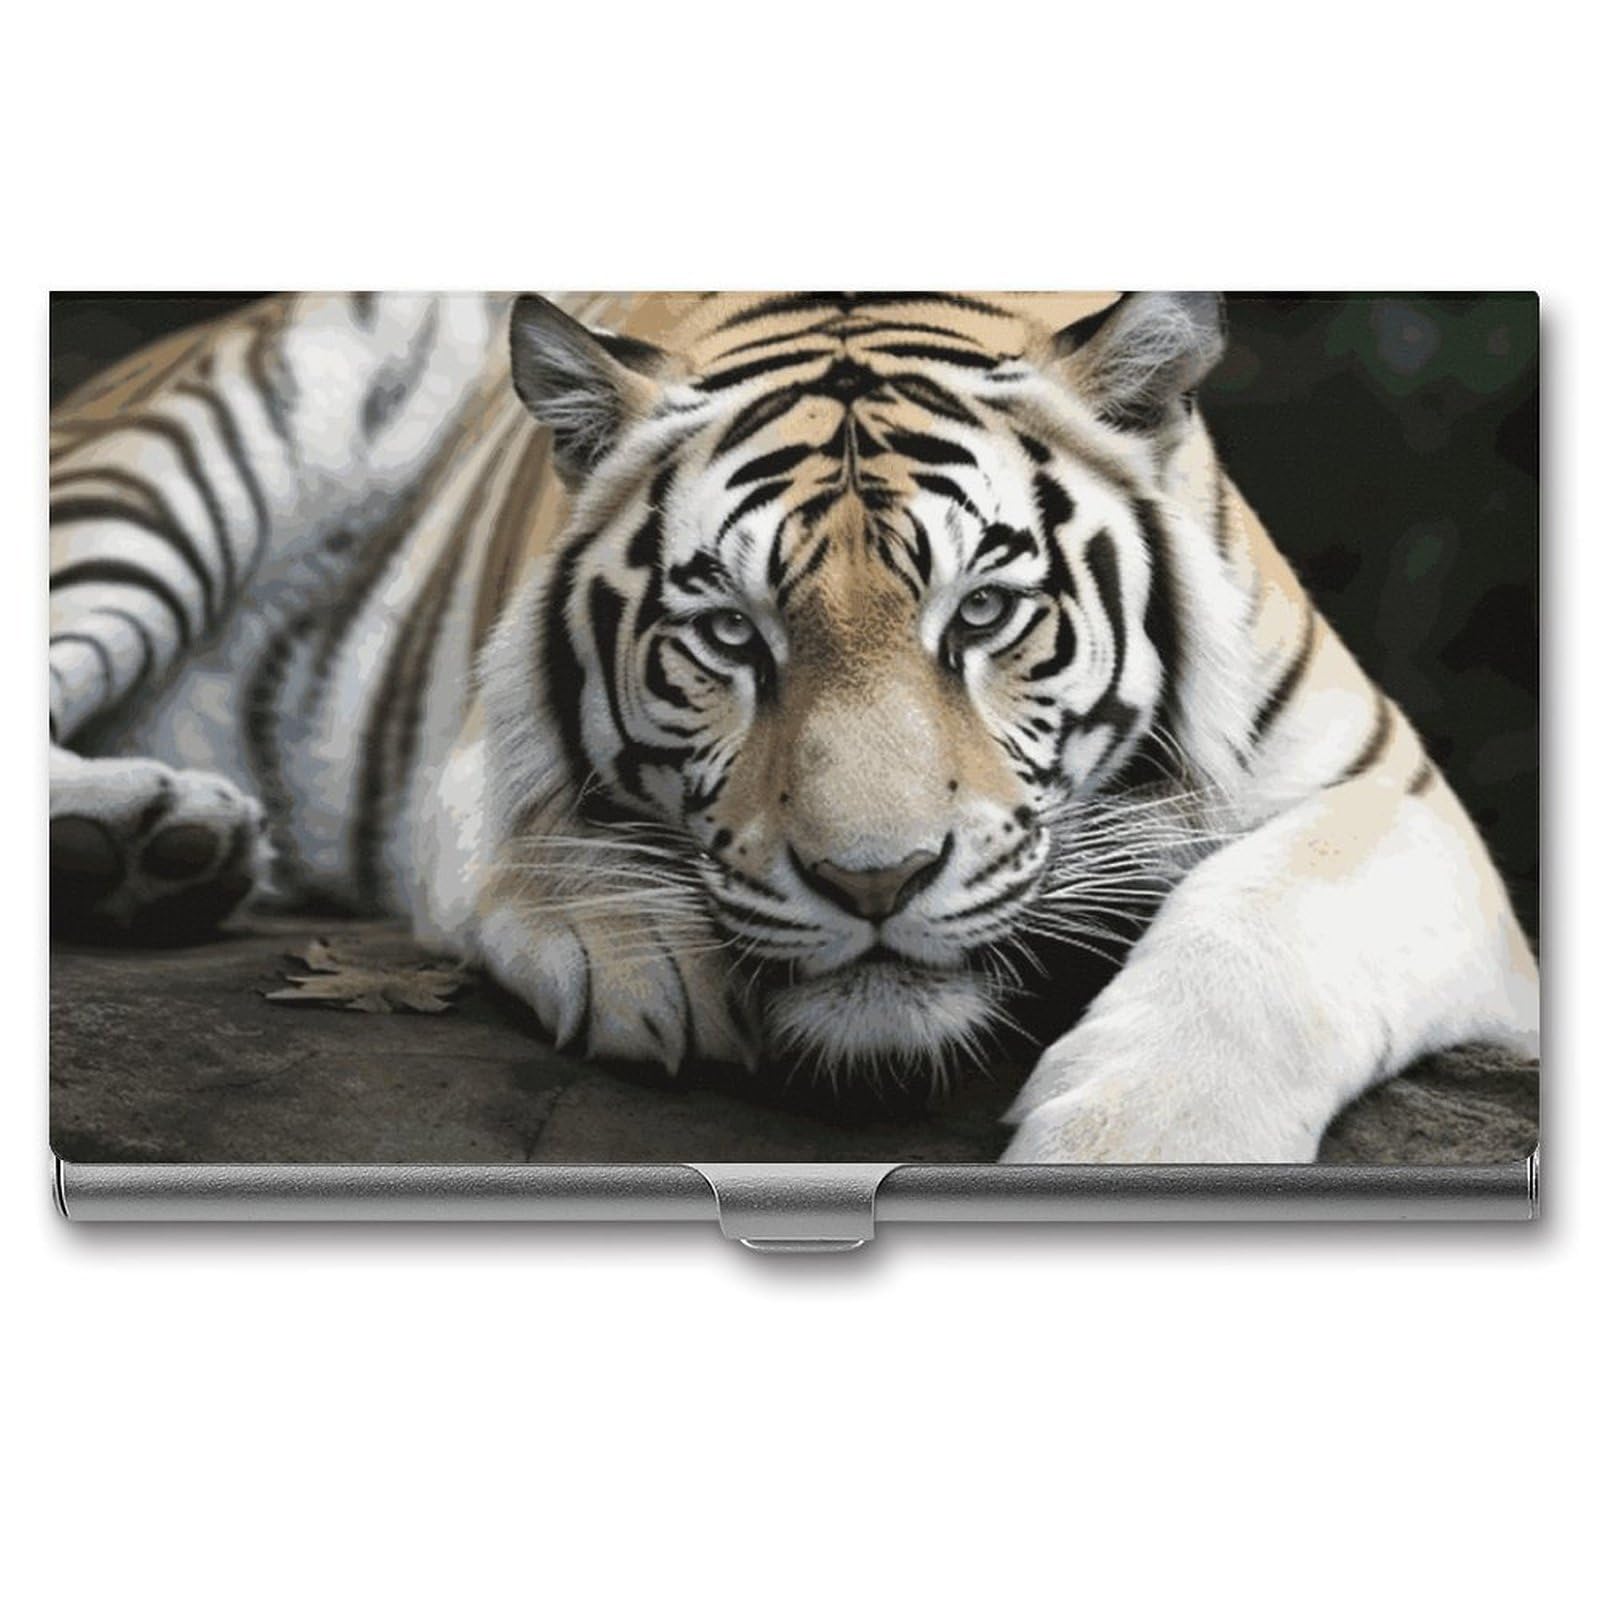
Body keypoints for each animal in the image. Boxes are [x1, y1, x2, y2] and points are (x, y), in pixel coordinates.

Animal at [48, 290, 1540, 1162]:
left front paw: (1146, 1145)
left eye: (982, 613)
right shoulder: (477, 742)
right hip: (167, 465)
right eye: (728, 636)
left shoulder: (1395, 792)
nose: (873, 883)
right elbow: (540, 828)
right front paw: (641, 945)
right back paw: (143, 840)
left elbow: (1273, 922)